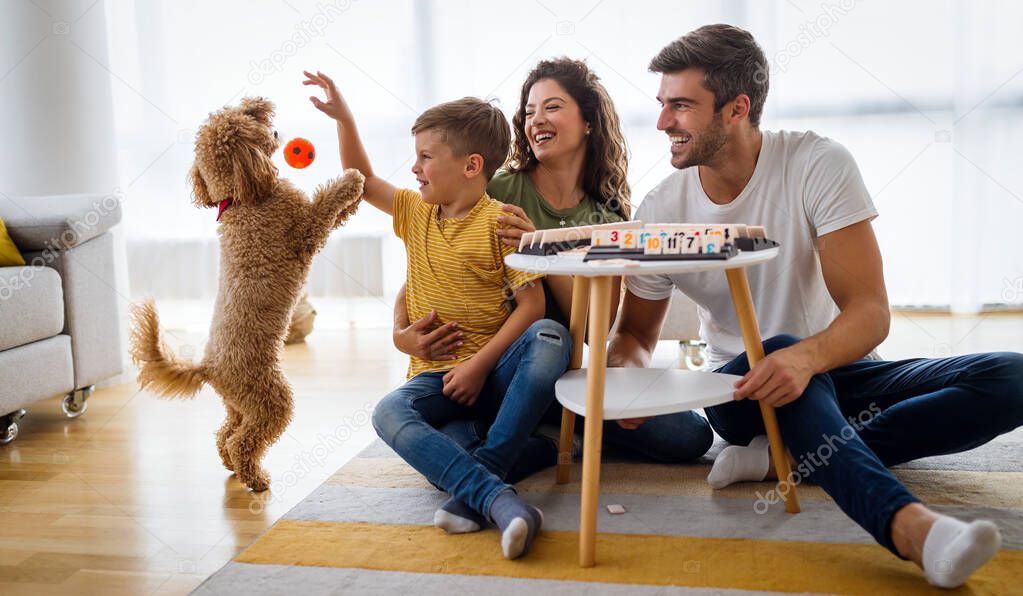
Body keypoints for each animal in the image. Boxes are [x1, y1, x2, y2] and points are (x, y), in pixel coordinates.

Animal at [129, 96, 366, 490]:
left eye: (240, 118)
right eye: (248, 130)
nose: (274, 128)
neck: (239, 200)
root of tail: (209, 367)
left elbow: (337, 213)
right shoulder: (304, 233)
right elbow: (325, 205)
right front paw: (352, 181)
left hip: (239, 405)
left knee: (225, 434)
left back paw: (233, 467)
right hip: (271, 400)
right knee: (243, 440)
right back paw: (256, 479)